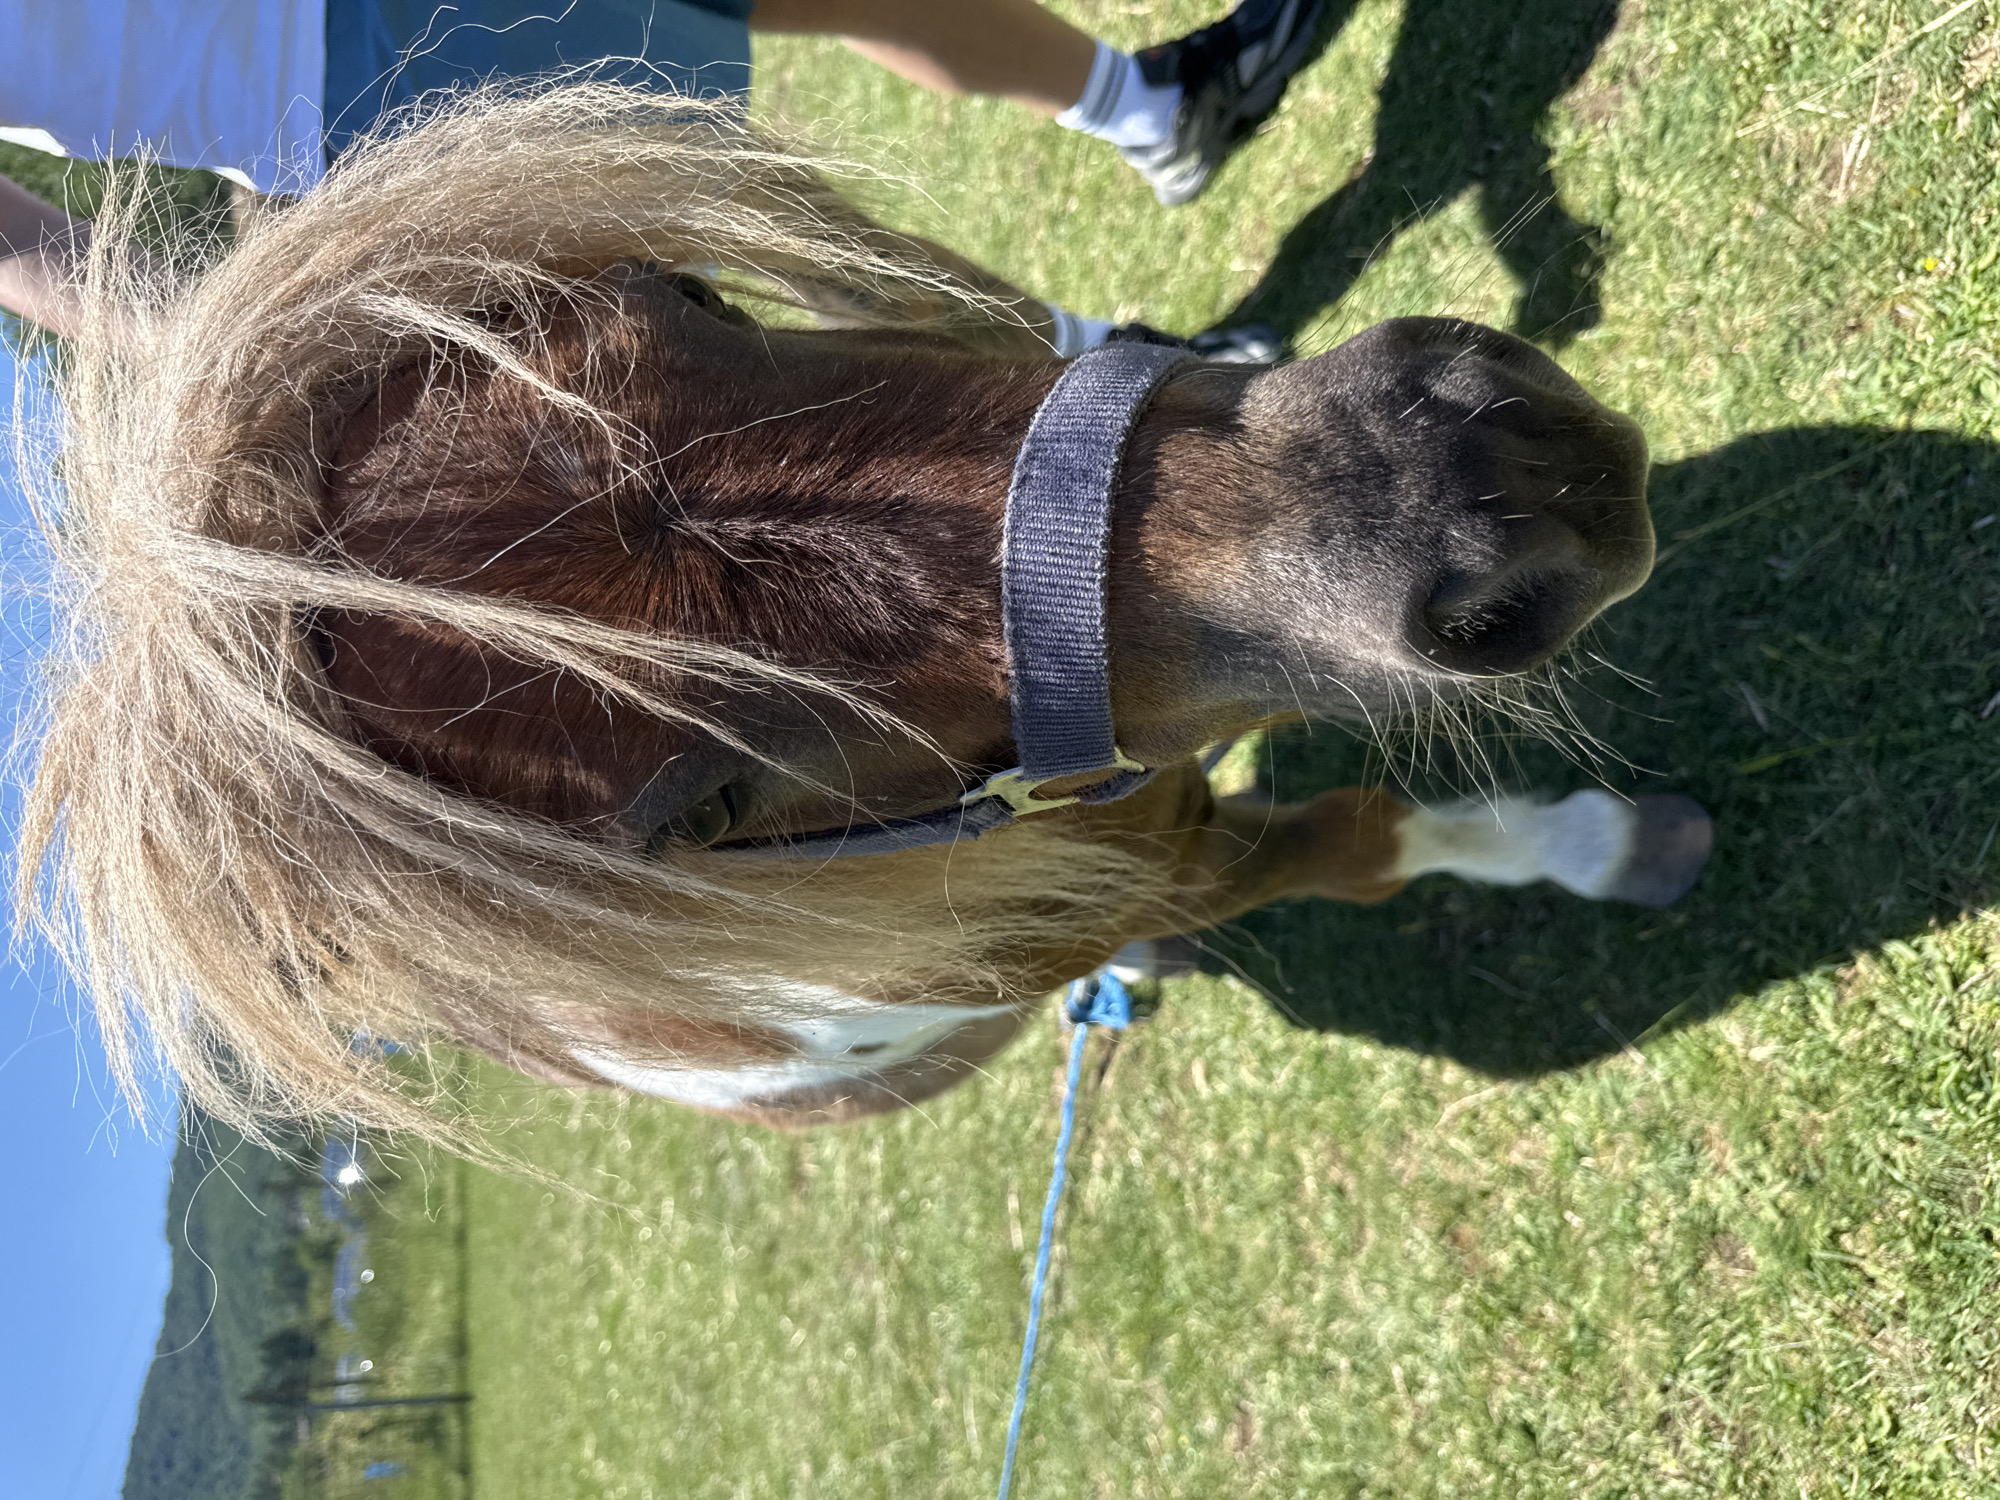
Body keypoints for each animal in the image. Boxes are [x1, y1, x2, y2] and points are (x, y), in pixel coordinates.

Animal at [18, 84, 1707, 1144]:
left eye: (687, 293)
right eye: (706, 807)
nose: (1479, 482)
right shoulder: (1177, 865)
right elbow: (1363, 840)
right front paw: (1611, 847)